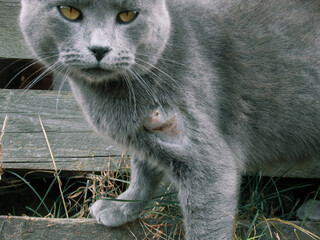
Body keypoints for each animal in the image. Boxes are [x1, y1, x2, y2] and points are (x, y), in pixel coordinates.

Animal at [20, 0, 320, 239]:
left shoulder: (205, 157)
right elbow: (142, 168)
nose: (99, 48)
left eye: (128, 15)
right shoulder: (146, 134)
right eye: (68, 11)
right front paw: (122, 206)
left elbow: (206, 223)